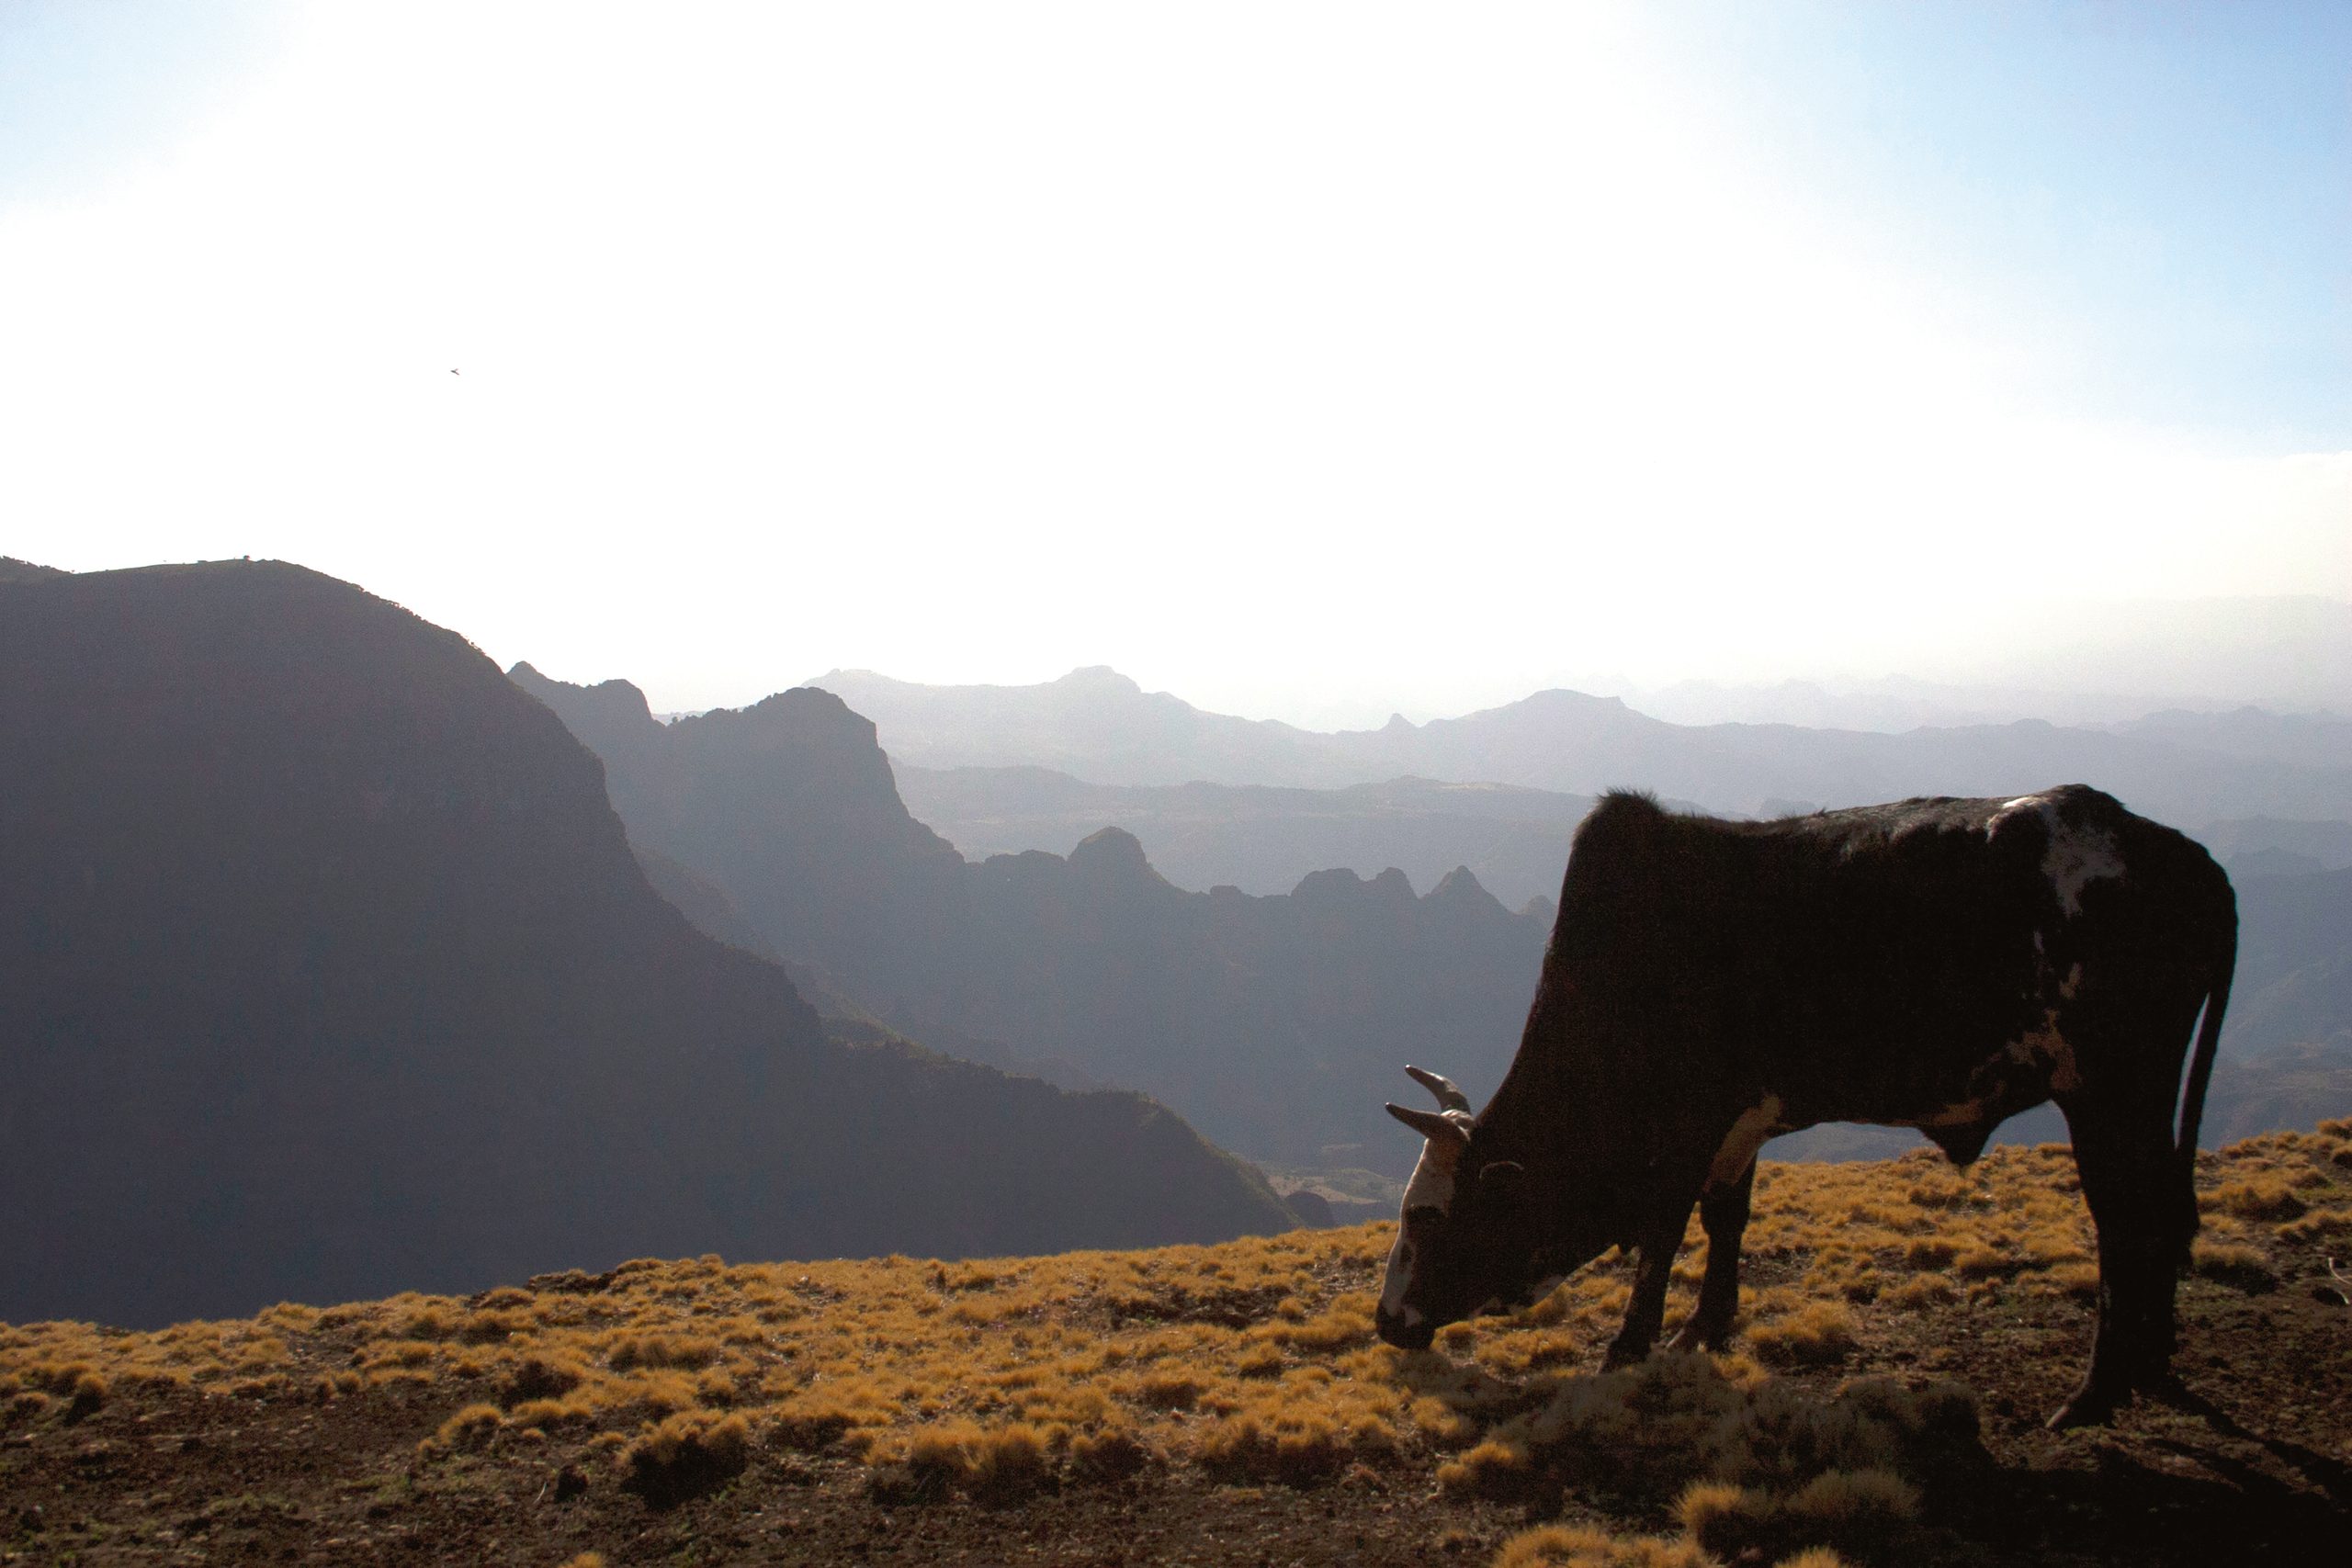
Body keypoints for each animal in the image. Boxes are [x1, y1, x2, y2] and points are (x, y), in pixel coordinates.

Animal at [1374, 785, 2236, 1428]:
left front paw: (1628, 1347)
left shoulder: (1691, 1129)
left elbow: (1664, 1235)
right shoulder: (1742, 1123)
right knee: (2160, 1212)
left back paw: (2096, 1391)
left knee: (2126, 1222)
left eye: (1429, 1215)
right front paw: (1704, 1327)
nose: (1385, 1321)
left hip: (2111, 1090)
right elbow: (1726, 1219)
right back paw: (2153, 1363)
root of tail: (2186, 858)